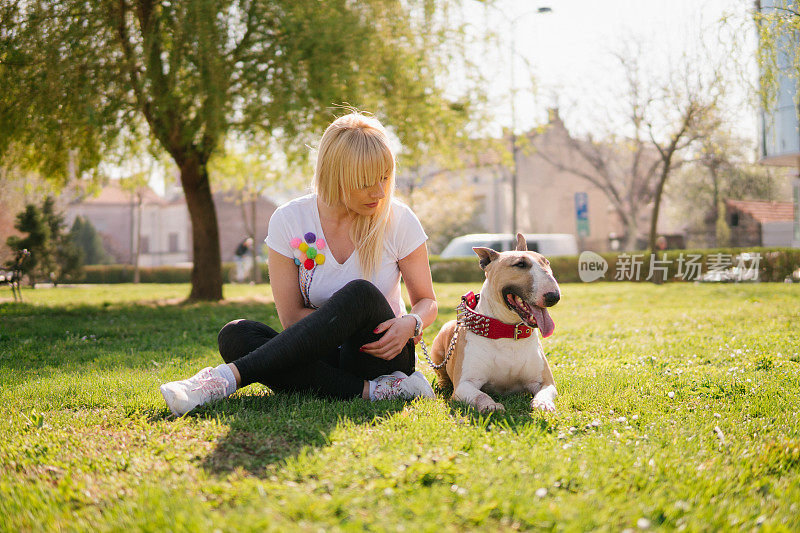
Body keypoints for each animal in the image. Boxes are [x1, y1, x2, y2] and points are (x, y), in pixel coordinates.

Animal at [432, 233, 564, 412]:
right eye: (520, 264)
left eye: (547, 263)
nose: (554, 296)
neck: (506, 330)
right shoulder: (464, 384)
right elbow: (480, 395)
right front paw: (491, 406)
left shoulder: (545, 381)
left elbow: (545, 391)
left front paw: (543, 404)